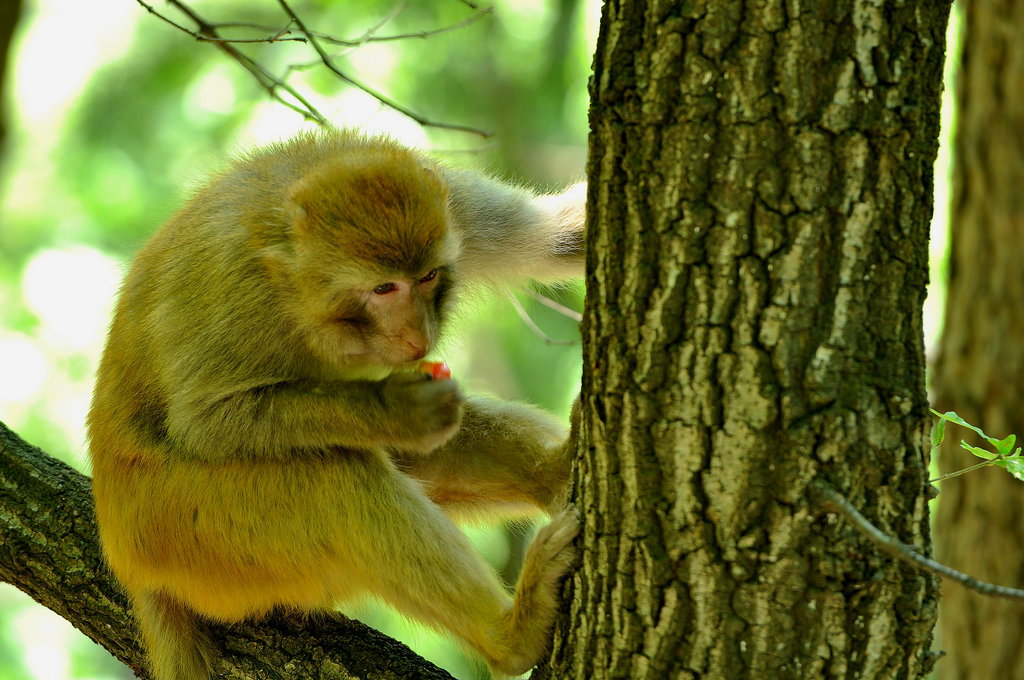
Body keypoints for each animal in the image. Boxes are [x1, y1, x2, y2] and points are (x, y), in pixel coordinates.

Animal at [87, 129, 589, 680]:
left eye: (428, 276)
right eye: (383, 287)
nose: (418, 335)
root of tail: (129, 563)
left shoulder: (457, 207)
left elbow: (557, 239)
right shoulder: (239, 288)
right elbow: (206, 422)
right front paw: (395, 409)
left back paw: (554, 475)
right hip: (184, 529)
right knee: (342, 480)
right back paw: (512, 636)